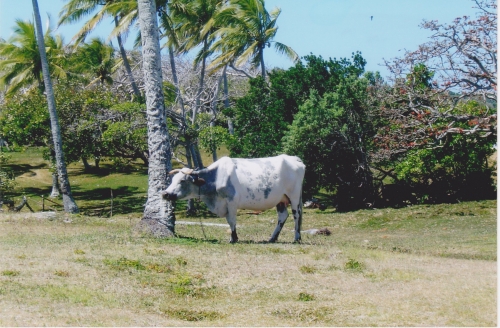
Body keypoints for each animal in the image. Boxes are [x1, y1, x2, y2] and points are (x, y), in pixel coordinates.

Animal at [164, 154, 304, 243]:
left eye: (182, 181)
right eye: (173, 179)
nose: (165, 193)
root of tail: (294, 158)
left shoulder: (231, 201)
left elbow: (232, 221)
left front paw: (234, 238)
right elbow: (229, 221)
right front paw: (233, 237)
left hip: (294, 196)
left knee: (296, 215)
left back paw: (297, 238)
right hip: (280, 199)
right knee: (283, 216)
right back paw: (272, 238)